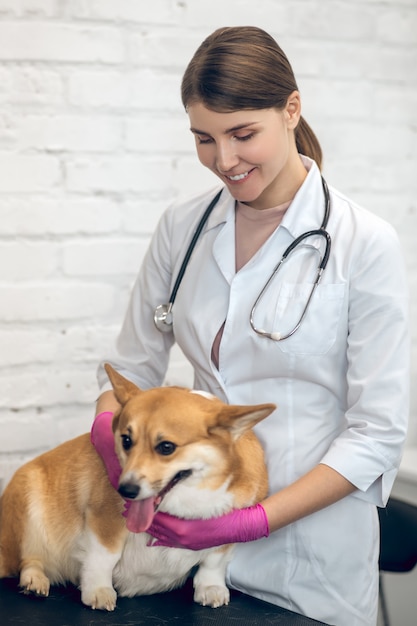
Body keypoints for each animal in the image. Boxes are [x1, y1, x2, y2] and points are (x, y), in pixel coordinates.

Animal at [0, 364, 272, 608]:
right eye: (126, 440)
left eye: (166, 447)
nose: (125, 491)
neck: (193, 496)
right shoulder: (105, 521)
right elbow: (103, 558)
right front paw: (98, 591)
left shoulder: (228, 529)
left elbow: (214, 562)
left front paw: (211, 587)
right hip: (26, 507)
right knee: (28, 559)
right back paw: (34, 580)